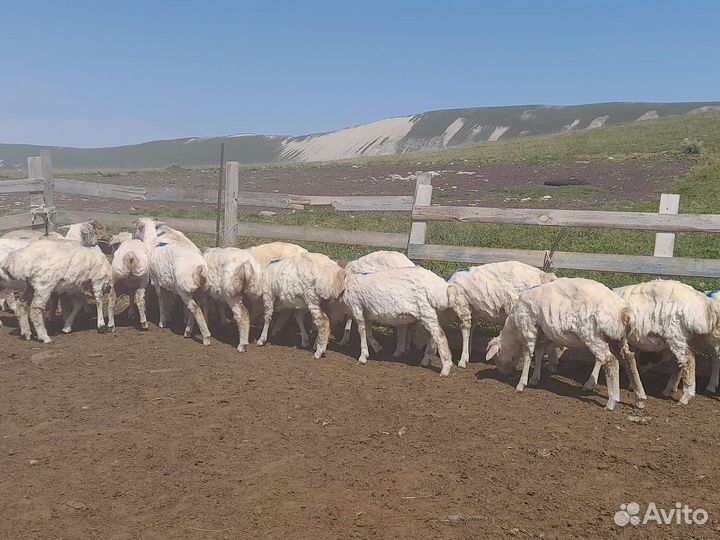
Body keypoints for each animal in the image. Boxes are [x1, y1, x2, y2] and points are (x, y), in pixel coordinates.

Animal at [485, 277, 638, 411]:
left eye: (496, 358)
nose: (503, 374)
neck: (514, 330)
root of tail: (624, 311)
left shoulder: (528, 328)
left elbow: (528, 355)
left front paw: (521, 384)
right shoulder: (542, 334)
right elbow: (539, 354)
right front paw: (535, 377)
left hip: (593, 335)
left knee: (611, 361)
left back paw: (611, 401)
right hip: (618, 338)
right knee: (629, 358)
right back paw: (639, 397)